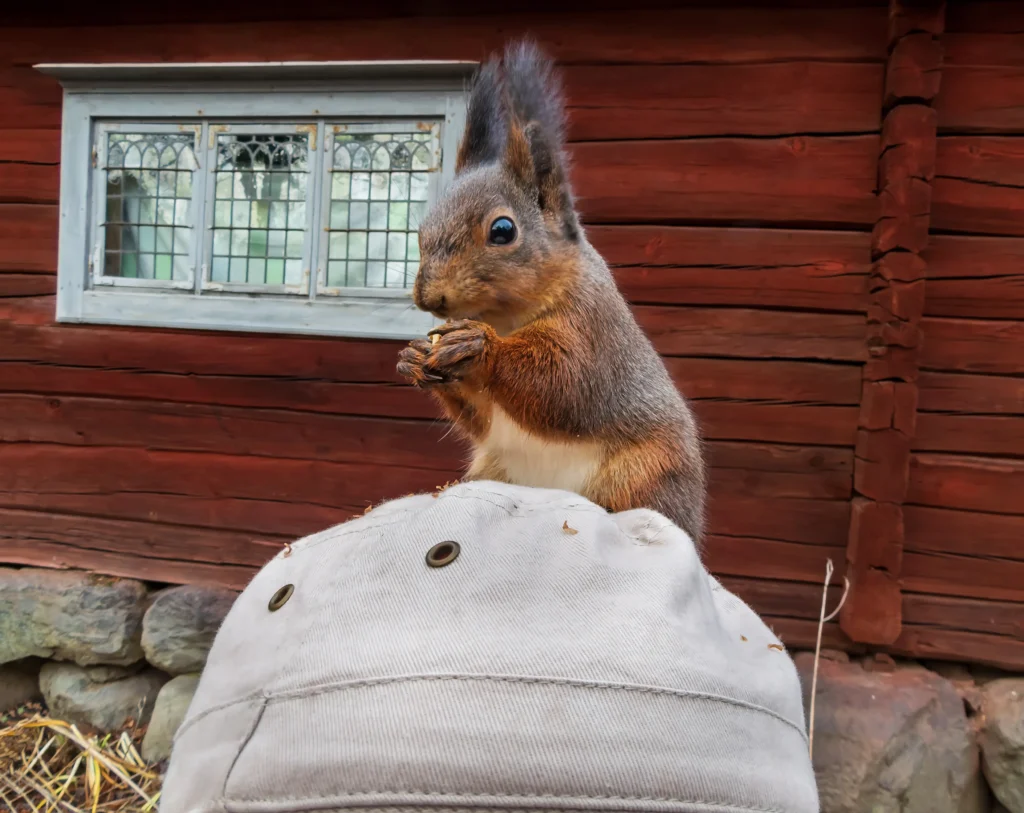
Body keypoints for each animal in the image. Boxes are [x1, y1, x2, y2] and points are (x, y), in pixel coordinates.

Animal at [396, 40, 708, 546]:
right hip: (495, 468)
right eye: (422, 229)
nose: (428, 298)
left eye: (503, 230)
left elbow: (565, 384)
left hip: (646, 471)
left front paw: (480, 349)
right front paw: (412, 358)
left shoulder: (592, 330)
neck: (503, 318)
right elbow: (481, 416)